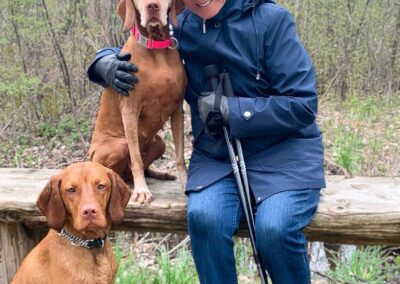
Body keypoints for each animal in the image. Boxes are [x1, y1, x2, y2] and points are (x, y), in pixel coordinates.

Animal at [89, 0, 188, 204]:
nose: (152, 6)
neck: (156, 47)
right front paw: (142, 190)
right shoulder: (130, 109)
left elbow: (180, 155)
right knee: (115, 170)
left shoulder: (177, 109)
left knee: (140, 168)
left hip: (159, 142)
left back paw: (159, 174)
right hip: (118, 145)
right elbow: (136, 157)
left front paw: (186, 183)